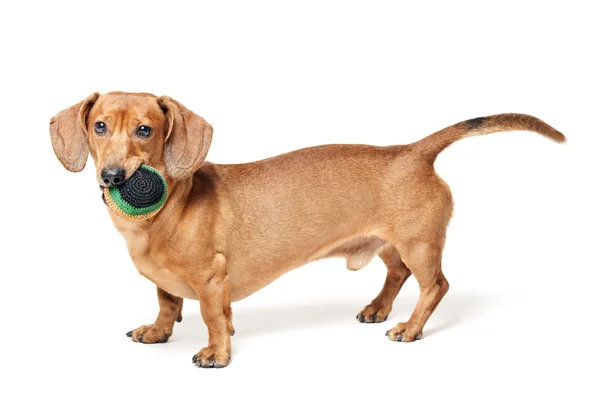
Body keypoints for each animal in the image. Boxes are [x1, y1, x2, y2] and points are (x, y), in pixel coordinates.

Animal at [49, 92, 564, 368]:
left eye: (145, 130)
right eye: (99, 127)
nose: (113, 177)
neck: (169, 206)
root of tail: (410, 151)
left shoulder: (212, 278)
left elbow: (214, 317)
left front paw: (216, 352)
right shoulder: (166, 283)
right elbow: (166, 302)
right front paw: (158, 331)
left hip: (419, 245)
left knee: (435, 285)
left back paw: (409, 328)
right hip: (387, 244)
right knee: (396, 274)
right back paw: (378, 309)